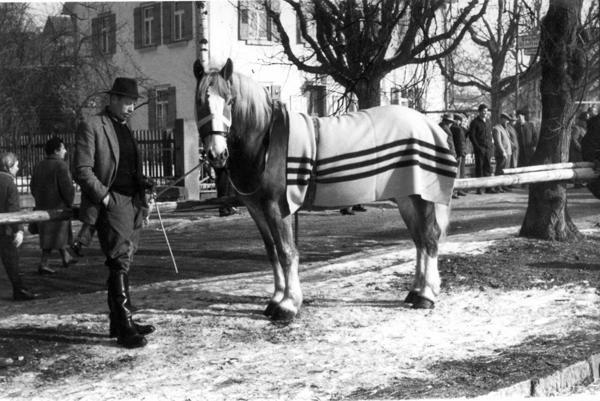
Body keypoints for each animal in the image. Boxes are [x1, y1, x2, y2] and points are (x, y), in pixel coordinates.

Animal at [195, 57, 458, 320]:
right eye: (200, 103)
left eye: (229, 101)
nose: (217, 154)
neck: (266, 144)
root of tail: (429, 125)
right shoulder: (256, 209)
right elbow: (272, 251)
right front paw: (276, 299)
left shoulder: (277, 208)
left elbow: (286, 251)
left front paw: (288, 305)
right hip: (406, 198)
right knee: (419, 239)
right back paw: (416, 291)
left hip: (421, 198)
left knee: (429, 238)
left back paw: (426, 295)